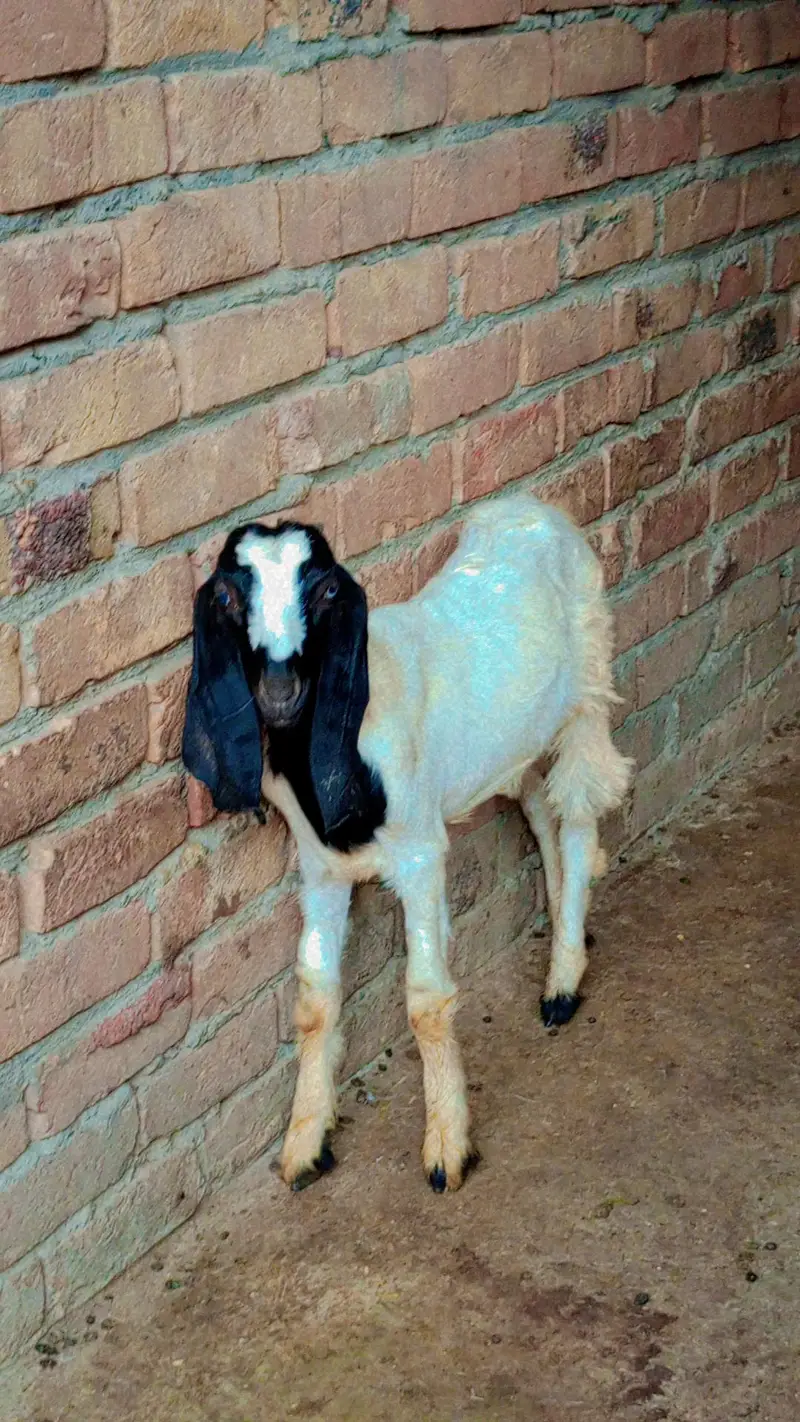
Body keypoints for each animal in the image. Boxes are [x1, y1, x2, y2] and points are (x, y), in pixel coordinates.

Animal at [183, 494, 632, 1193]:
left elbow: (425, 1000)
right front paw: (305, 1144)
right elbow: (315, 999)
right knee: (537, 805)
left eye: (327, 589)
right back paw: (568, 923)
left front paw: (447, 1146)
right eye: (230, 595)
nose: (279, 693)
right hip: (512, 740)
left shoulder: (421, 854)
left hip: (588, 686)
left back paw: (562, 982)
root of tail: (532, 506)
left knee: (580, 819)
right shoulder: (320, 870)